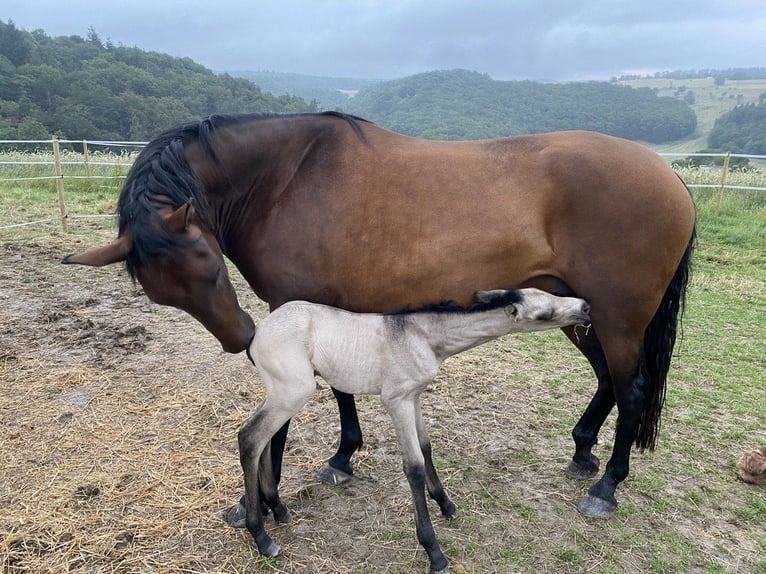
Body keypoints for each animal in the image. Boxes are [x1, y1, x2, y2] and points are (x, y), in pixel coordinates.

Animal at [240, 292, 592, 574]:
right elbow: (413, 466)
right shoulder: (396, 400)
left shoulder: (415, 396)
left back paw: (278, 508)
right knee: (250, 438)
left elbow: (426, 446)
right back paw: (261, 536)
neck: (419, 336)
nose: (586, 306)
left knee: (265, 440)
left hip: (283, 393)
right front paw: (434, 552)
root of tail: (257, 333)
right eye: (544, 314)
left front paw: (446, 504)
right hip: (294, 391)